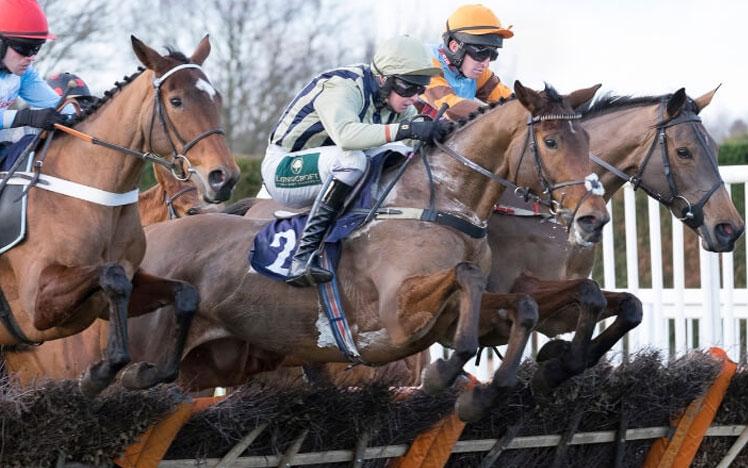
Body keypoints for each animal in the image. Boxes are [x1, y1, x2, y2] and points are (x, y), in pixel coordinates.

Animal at [0, 35, 238, 394]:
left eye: (217, 97)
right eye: (176, 101)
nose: (224, 177)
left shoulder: (120, 288)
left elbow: (184, 295)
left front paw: (145, 373)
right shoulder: (37, 307)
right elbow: (112, 277)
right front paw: (100, 373)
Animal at [125, 81, 612, 420]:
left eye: (588, 143)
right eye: (551, 142)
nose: (594, 217)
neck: (438, 200)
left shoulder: (459, 310)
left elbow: (524, 306)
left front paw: (502, 387)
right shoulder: (397, 315)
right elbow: (468, 277)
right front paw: (445, 373)